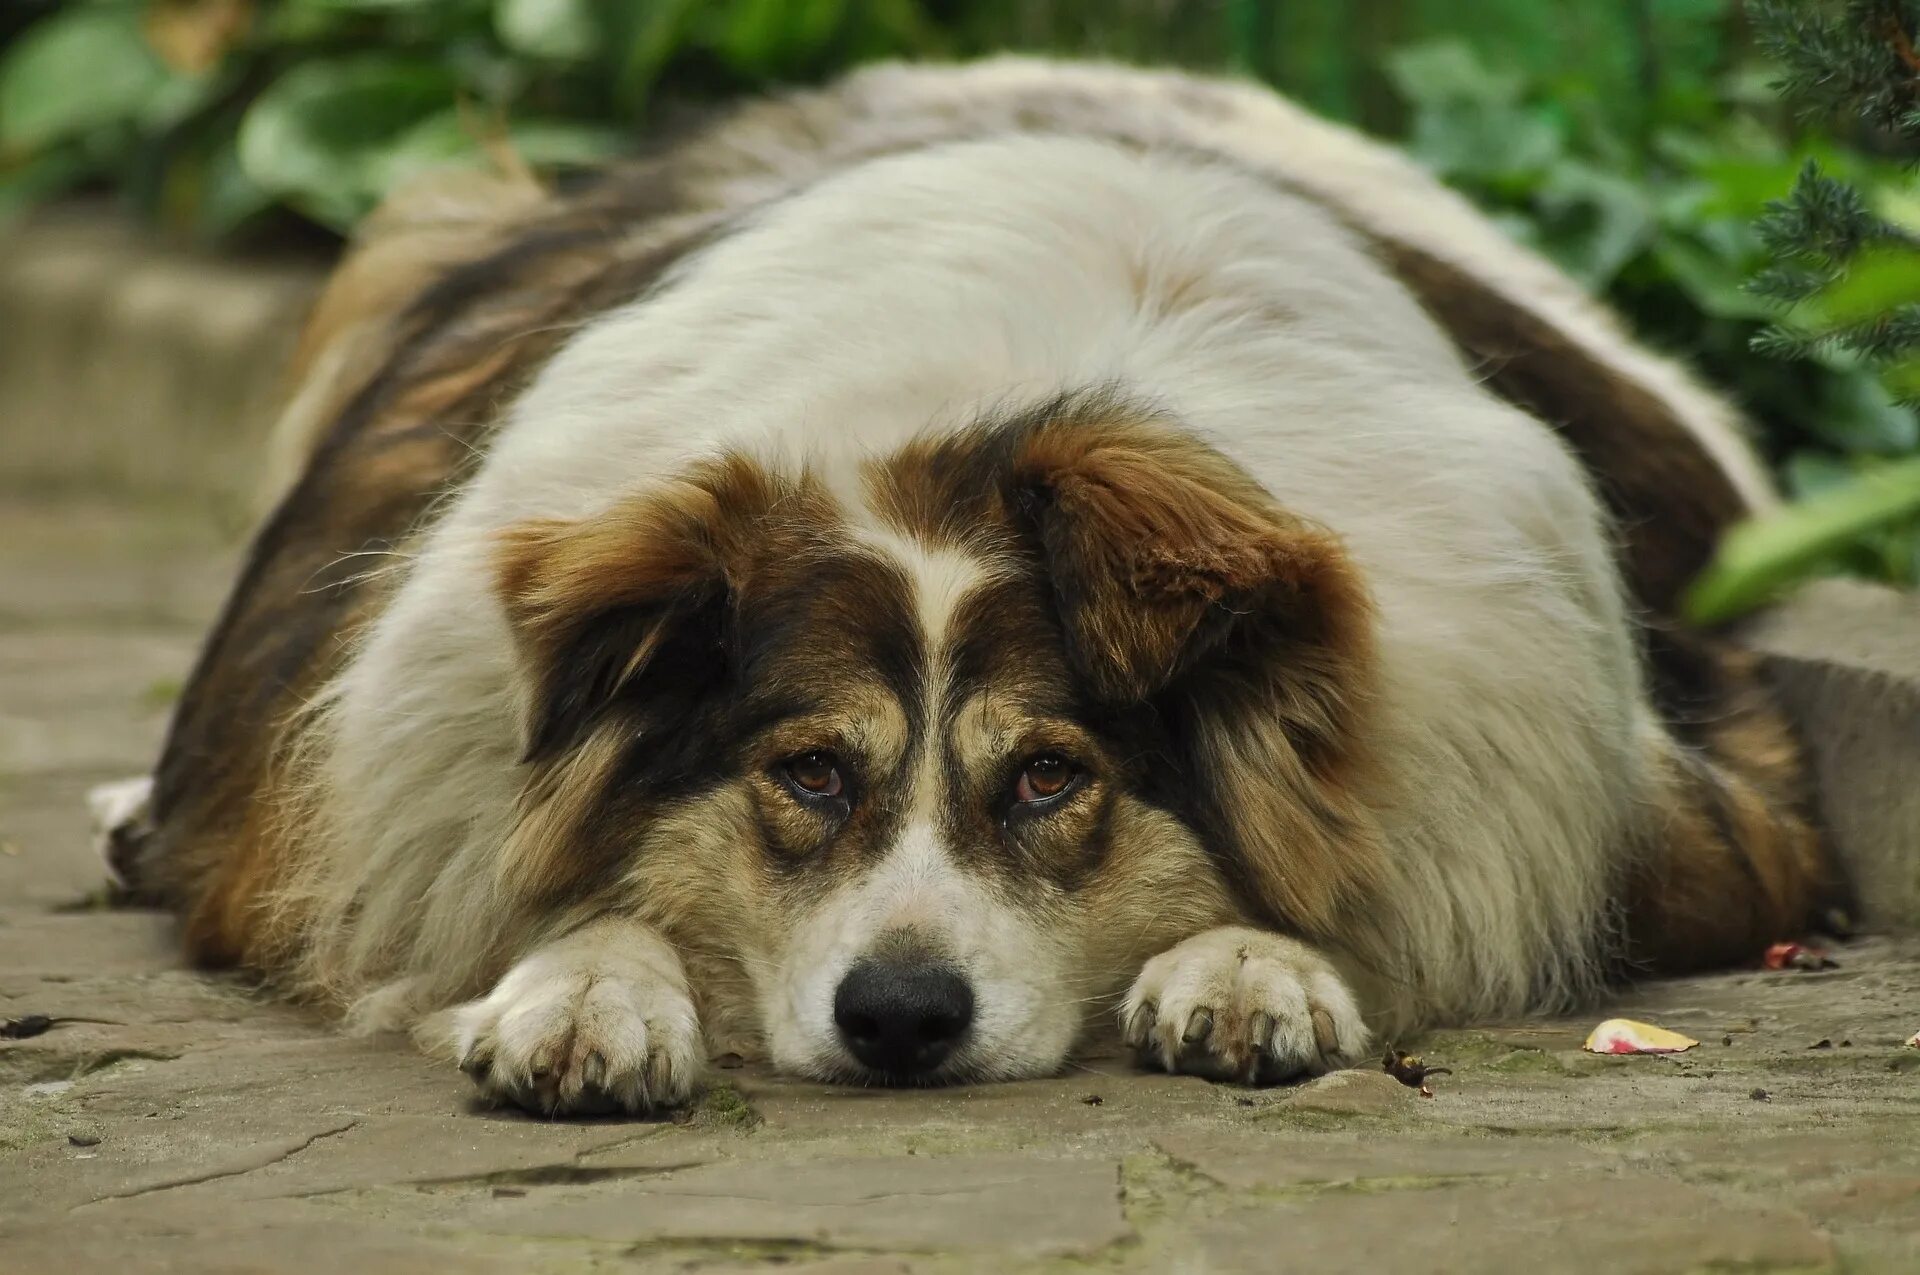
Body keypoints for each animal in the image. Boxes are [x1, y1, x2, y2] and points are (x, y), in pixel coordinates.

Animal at [97, 62, 1835, 1113]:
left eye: (1053, 777)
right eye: (806, 770)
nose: (901, 1021)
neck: (986, 418)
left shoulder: (1690, 825)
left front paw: (1257, 960)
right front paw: (586, 987)